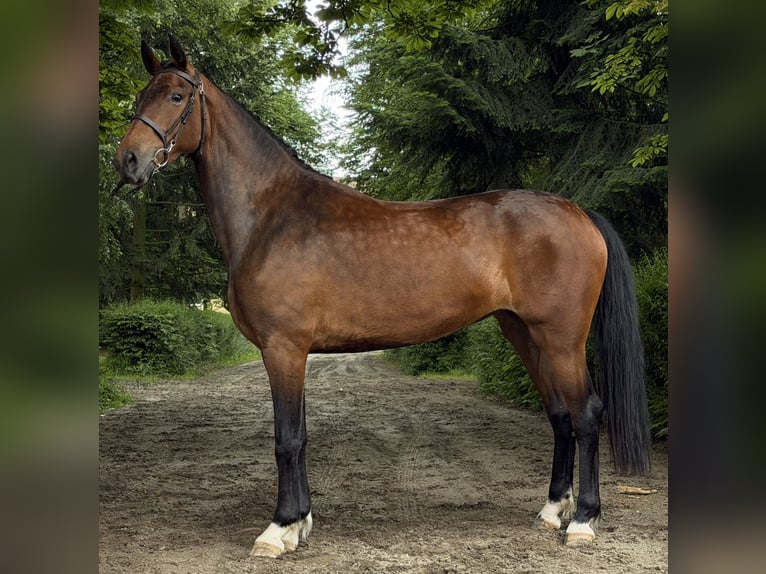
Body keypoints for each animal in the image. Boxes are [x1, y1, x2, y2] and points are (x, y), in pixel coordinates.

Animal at [113, 36, 650, 558]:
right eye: (140, 97)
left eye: (176, 97)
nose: (128, 161)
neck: (271, 215)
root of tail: (577, 212)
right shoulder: (295, 352)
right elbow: (301, 436)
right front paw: (300, 524)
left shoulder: (283, 348)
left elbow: (286, 439)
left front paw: (277, 530)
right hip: (523, 332)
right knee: (560, 417)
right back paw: (551, 511)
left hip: (561, 338)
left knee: (586, 415)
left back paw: (582, 522)